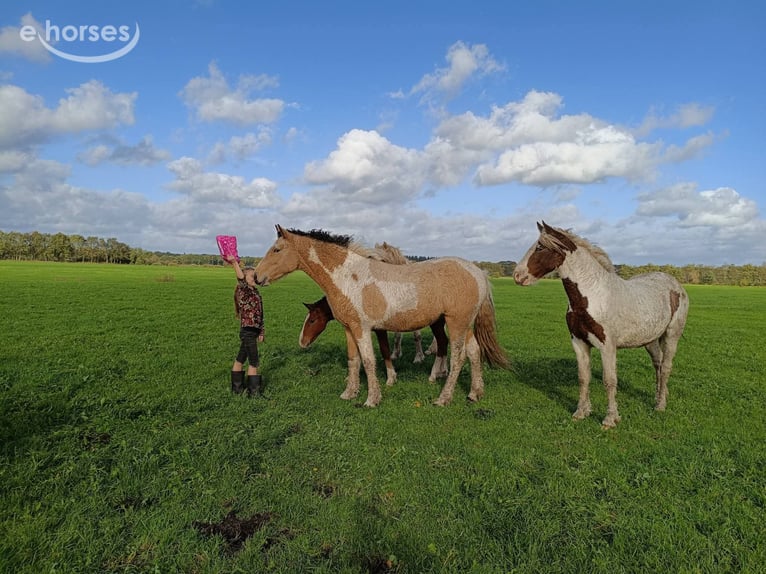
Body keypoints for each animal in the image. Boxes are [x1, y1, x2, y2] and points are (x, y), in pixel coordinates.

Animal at [299, 296, 449, 385]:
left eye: (312, 320)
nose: (302, 342)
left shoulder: (380, 329)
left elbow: (384, 350)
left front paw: (391, 378)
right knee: (444, 342)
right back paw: (443, 371)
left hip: (436, 323)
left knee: (442, 341)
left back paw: (434, 374)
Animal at [513, 221, 689, 428]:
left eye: (540, 247)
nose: (517, 275)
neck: (593, 295)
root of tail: (675, 284)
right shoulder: (579, 343)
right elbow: (583, 378)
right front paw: (581, 412)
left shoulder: (607, 346)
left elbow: (609, 381)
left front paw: (610, 419)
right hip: (650, 340)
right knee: (658, 365)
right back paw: (659, 396)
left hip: (671, 336)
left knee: (666, 367)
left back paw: (660, 405)